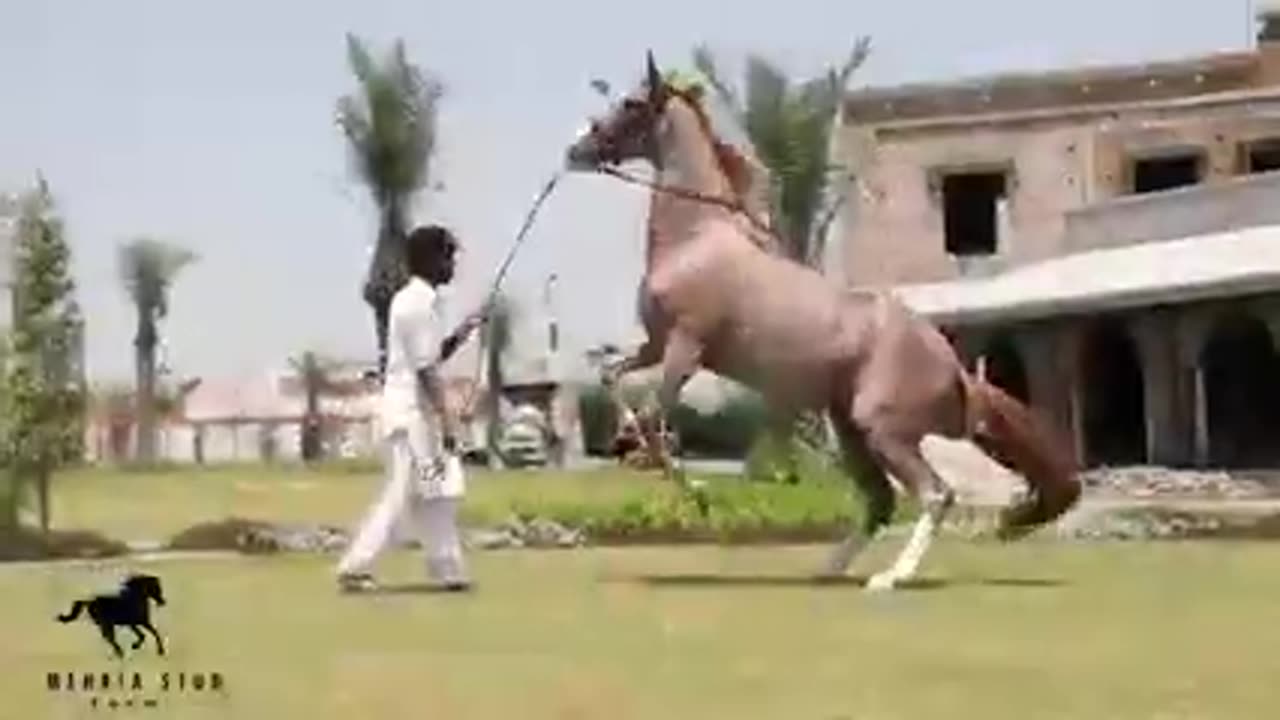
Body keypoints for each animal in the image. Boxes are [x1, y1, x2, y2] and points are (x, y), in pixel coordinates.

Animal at [563, 52, 1081, 591]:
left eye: (631, 103)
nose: (576, 148)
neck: (695, 239)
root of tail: (956, 369)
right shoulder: (655, 344)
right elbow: (613, 377)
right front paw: (633, 446)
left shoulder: (687, 345)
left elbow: (654, 411)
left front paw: (683, 479)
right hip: (851, 431)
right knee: (881, 500)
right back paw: (831, 569)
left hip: (884, 431)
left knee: (935, 494)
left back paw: (891, 578)